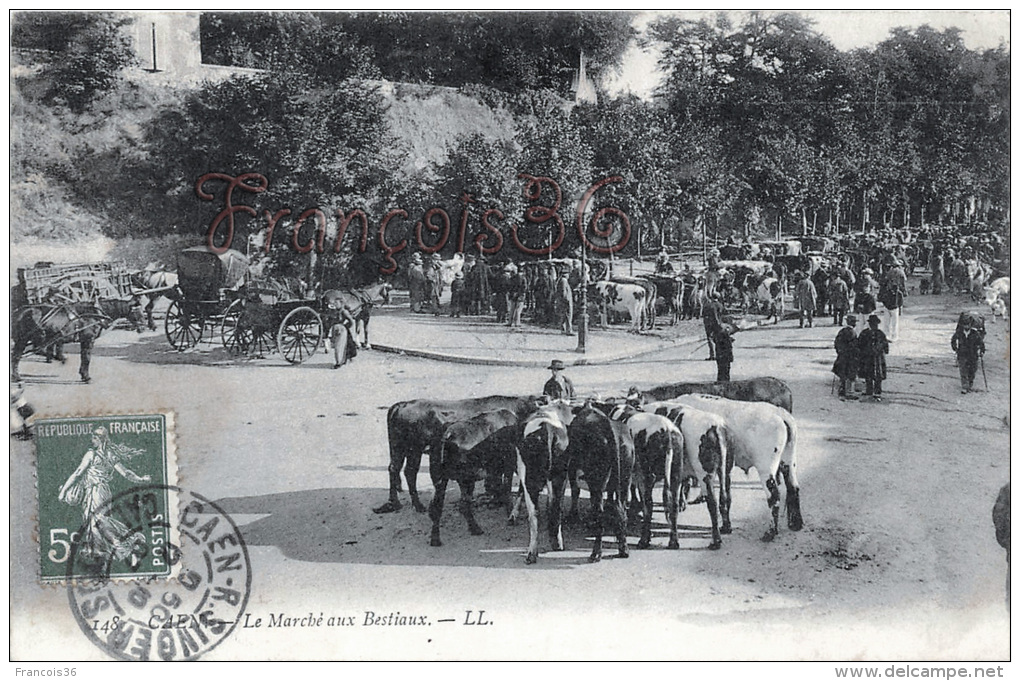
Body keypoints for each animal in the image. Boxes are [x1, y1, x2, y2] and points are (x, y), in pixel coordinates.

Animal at [10, 297, 143, 383]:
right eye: (138, 312)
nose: (142, 327)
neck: (93, 314)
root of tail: (17, 312)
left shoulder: (84, 341)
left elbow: (83, 357)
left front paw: (83, 374)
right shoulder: (88, 340)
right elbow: (87, 358)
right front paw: (86, 377)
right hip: (22, 340)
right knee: (16, 357)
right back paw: (17, 377)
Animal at [377, 395, 542, 513]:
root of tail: (402, 404)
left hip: (401, 449)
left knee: (398, 469)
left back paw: (399, 503)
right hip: (411, 449)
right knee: (406, 471)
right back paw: (412, 505)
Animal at [428, 409, 522, 546]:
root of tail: (447, 434)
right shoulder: (507, 467)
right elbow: (506, 490)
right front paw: (510, 513)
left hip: (441, 479)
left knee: (438, 506)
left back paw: (435, 538)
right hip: (465, 480)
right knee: (463, 505)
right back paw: (475, 528)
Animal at [673, 393, 799, 542]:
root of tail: (780, 414)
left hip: (766, 469)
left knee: (774, 497)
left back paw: (771, 532)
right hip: (788, 461)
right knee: (793, 487)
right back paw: (796, 524)